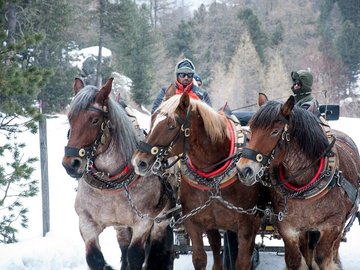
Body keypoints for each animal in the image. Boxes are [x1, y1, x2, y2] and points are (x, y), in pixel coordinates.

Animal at [62, 77, 177, 270]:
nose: (70, 164)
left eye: (94, 120)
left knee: (156, 251)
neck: (111, 182)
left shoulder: (143, 222)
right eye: (70, 117)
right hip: (122, 226)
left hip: (162, 220)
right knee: (124, 247)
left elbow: (135, 256)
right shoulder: (86, 222)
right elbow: (95, 258)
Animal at [131, 92, 262, 268]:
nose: (139, 162)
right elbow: (200, 259)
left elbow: (242, 262)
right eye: (152, 120)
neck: (212, 176)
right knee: (215, 245)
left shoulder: (247, 227)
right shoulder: (194, 223)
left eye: (171, 125)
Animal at [236, 96, 360, 268]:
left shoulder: (333, 224)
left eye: (275, 131)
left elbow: (322, 257)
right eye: (250, 130)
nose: (243, 170)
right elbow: (294, 260)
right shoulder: (287, 227)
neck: (304, 186)